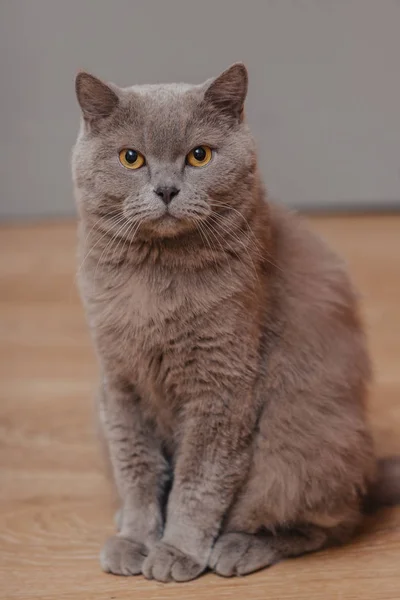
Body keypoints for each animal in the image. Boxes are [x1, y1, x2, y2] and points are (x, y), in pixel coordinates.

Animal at [72, 62, 400, 580]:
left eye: (199, 155)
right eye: (131, 158)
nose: (167, 189)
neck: (155, 280)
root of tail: (370, 467)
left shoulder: (222, 387)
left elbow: (199, 481)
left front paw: (177, 551)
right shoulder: (121, 384)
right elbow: (137, 470)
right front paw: (136, 540)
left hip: (300, 439)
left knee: (330, 522)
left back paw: (238, 547)